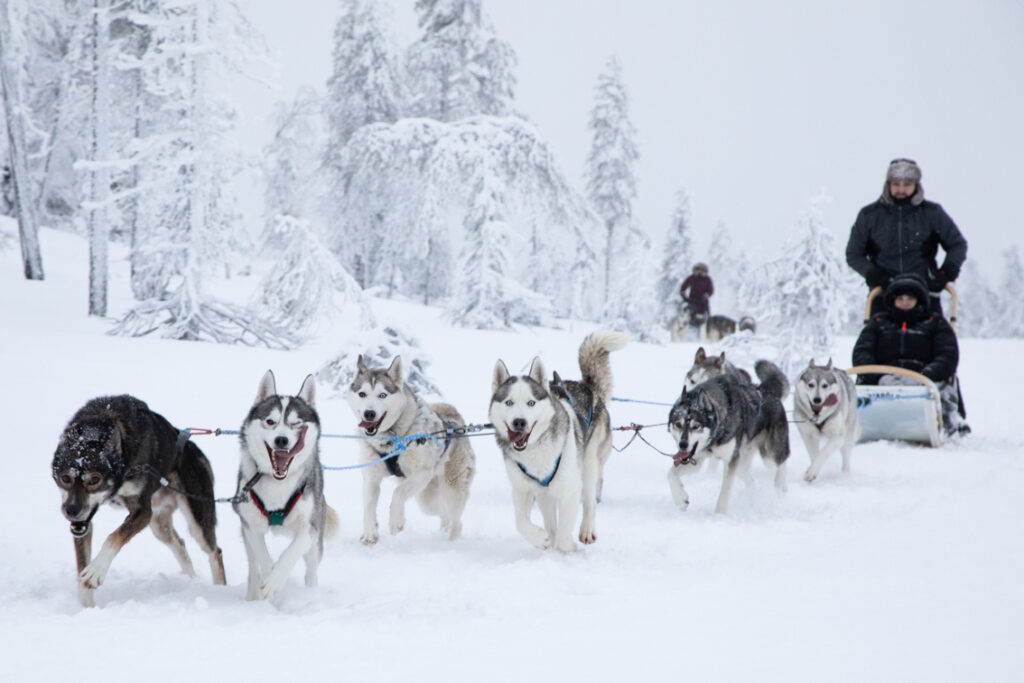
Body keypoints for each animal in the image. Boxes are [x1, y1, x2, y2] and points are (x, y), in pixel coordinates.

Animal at [51, 395, 226, 607]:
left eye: (94, 480)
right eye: (65, 478)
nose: (71, 510)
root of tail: (193, 448)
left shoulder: (143, 511)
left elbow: (113, 537)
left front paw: (96, 570)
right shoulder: (83, 524)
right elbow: (82, 565)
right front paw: (87, 607)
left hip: (197, 519)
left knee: (215, 552)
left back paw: (219, 589)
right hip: (159, 526)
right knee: (180, 544)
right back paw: (191, 580)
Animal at [234, 370, 337, 600]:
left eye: (296, 423)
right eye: (270, 421)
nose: (282, 440)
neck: (277, 483)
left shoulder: (310, 526)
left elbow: (291, 552)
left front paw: (275, 579)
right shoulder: (250, 524)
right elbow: (262, 555)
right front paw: (268, 578)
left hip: (316, 544)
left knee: (311, 570)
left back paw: (311, 592)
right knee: (252, 566)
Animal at [347, 355, 476, 545]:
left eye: (382, 395)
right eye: (362, 394)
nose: (369, 413)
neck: (391, 439)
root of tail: (454, 418)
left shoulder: (422, 472)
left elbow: (397, 494)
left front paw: (396, 521)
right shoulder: (371, 477)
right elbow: (369, 506)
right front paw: (370, 533)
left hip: (450, 490)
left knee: (456, 521)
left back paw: (451, 542)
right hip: (427, 498)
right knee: (442, 513)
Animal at [489, 330, 629, 551]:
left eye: (531, 403)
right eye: (509, 402)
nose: (519, 422)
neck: (536, 451)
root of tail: (586, 386)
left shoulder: (569, 489)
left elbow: (564, 532)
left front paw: (568, 548)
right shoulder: (522, 488)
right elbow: (521, 522)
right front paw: (540, 539)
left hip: (588, 464)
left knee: (589, 501)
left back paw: (586, 531)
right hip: (545, 493)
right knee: (549, 520)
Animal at [667, 360, 790, 514]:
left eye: (696, 426)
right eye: (678, 424)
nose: (682, 445)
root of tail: (766, 390)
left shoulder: (730, 461)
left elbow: (725, 492)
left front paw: (719, 515)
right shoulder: (697, 460)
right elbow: (671, 474)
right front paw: (680, 499)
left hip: (769, 456)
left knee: (782, 460)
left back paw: (781, 487)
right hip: (742, 463)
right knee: (751, 481)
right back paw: (751, 499)